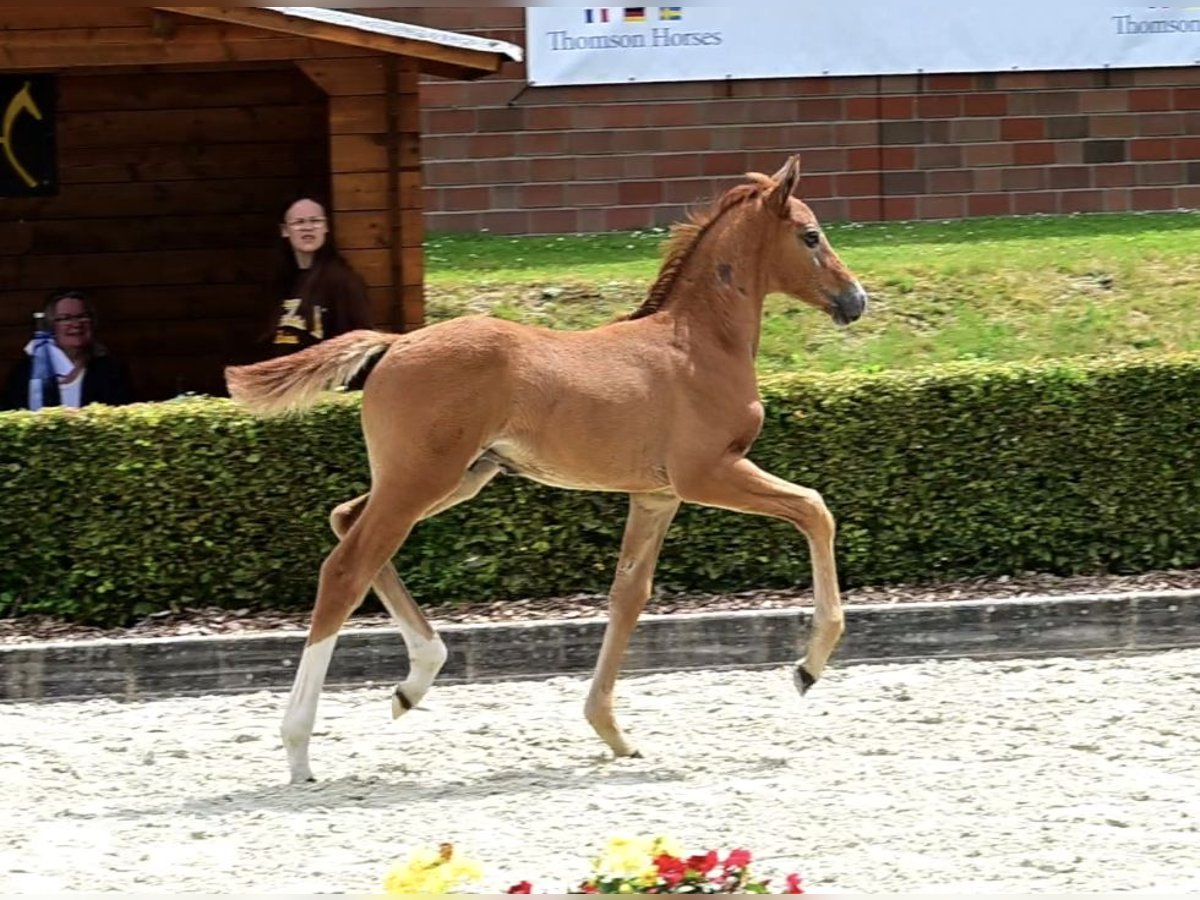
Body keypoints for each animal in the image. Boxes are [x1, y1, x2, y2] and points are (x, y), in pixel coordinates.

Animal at [225, 158, 868, 787]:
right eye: (811, 235)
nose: (855, 299)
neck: (696, 343)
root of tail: (394, 345)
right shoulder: (707, 472)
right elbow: (815, 508)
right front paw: (808, 666)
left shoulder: (656, 495)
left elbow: (629, 594)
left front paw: (612, 732)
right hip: (421, 480)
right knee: (346, 569)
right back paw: (300, 748)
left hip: (455, 477)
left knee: (345, 520)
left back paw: (414, 682)